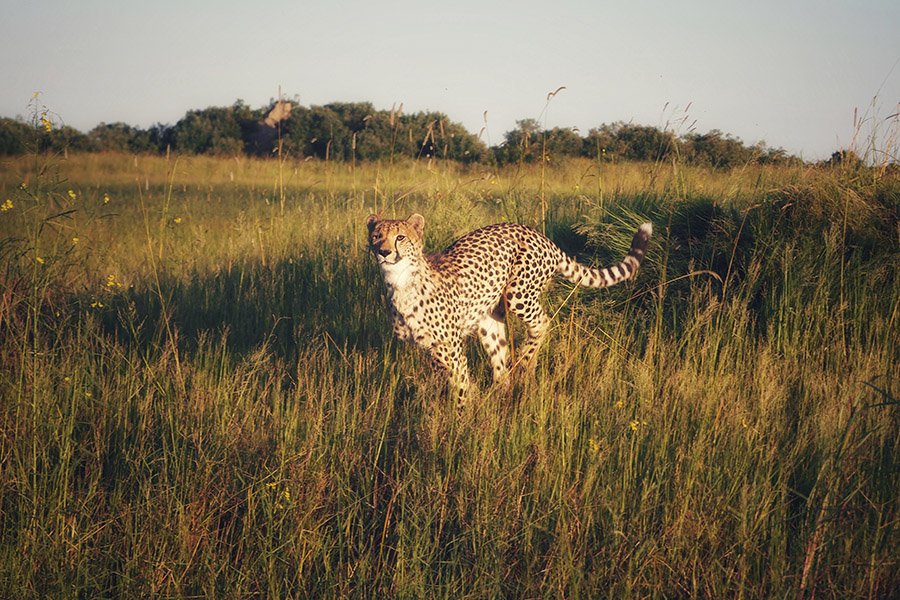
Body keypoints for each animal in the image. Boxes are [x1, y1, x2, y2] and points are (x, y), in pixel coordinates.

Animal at [366, 213, 652, 400]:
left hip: (518, 293)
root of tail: (537, 234)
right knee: (501, 363)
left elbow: (460, 385)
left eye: (400, 237)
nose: (383, 252)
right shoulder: (430, 348)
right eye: (377, 236)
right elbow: (455, 379)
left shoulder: (451, 346)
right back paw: (502, 392)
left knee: (543, 322)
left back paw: (525, 361)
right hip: (489, 320)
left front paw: (460, 423)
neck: (400, 282)